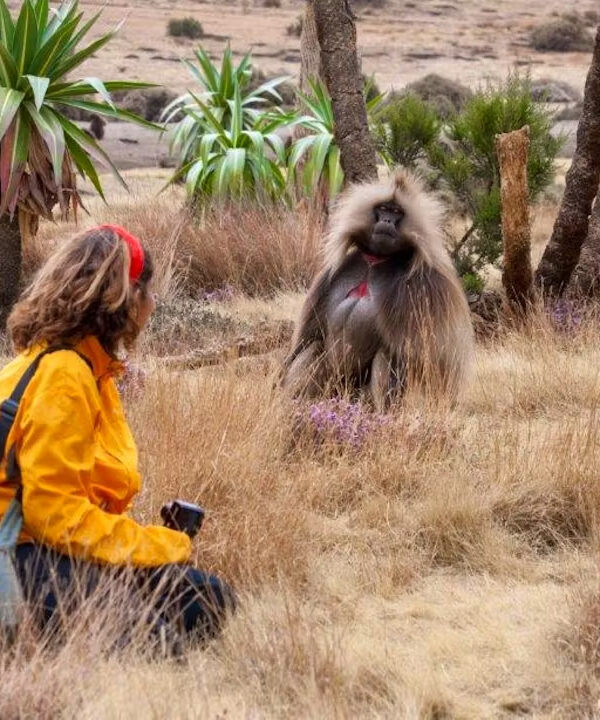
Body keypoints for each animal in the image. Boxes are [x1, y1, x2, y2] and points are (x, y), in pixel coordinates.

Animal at [282, 168, 474, 410]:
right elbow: (307, 338)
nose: (387, 220)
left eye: (397, 212)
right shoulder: (330, 277)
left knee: (387, 355)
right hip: (334, 389)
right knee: (314, 347)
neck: (377, 259)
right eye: (383, 209)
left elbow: (432, 363)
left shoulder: (428, 286)